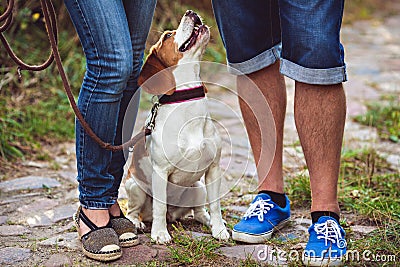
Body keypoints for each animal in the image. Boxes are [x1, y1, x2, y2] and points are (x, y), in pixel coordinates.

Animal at [125, 10, 231, 245]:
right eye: (167, 36)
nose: (191, 12)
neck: (187, 101)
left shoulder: (213, 169)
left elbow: (216, 205)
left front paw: (219, 230)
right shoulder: (161, 172)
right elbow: (159, 206)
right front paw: (159, 233)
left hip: (198, 187)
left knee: (199, 211)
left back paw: (207, 221)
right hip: (134, 187)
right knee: (134, 210)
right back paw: (137, 223)